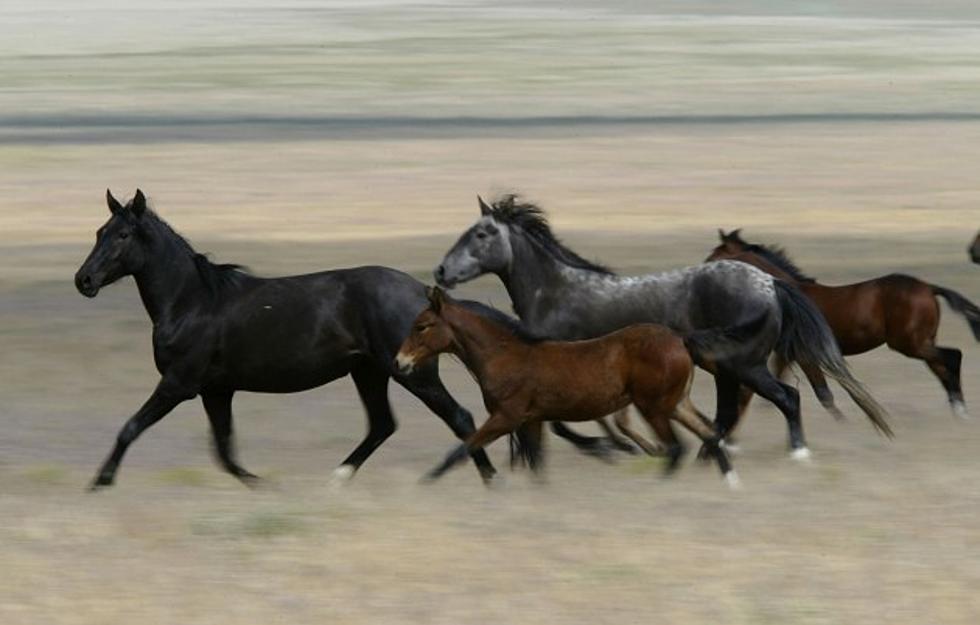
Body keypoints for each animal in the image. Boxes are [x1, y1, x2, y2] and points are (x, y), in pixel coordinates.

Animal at [74, 188, 498, 490]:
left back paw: (488, 480)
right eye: (99, 232)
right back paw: (337, 478)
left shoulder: (179, 383)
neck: (191, 301)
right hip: (369, 372)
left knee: (459, 417)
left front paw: (100, 482)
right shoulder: (216, 390)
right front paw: (263, 486)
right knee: (382, 425)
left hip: (412, 373)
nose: (84, 280)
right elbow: (224, 450)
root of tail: (423, 294)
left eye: (122, 234)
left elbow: (131, 427)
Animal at [394, 286, 740, 486]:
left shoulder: (506, 417)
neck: (504, 355)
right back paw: (731, 482)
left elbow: (463, 448)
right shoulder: (532, 420)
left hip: (653, 407)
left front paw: (426, 482)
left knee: (677, 448)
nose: (399, 363)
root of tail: (680, 339)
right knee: (710, 434)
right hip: (676, 403)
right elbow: (537, 463)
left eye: (422, 326)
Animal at [432, 195, 892, 458]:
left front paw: (618, 447)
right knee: (733, 409)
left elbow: (581, 421)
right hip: (728, 368)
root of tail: (770, 283)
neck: (558, 293)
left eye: (482, 233)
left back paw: (794, 451)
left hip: (744, 364)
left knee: (787, 397)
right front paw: (632, 445)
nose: (441, 271)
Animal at [704, 230, 980, 420]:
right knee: (942, 367)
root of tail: (929, 287)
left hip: (909, 343)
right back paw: (958, 411)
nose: (701, 271)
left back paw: (961, 411)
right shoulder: (788, 353)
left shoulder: (805, 354)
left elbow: (823, 393)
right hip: (921, 341)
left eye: (715, 256)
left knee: (952, 357)